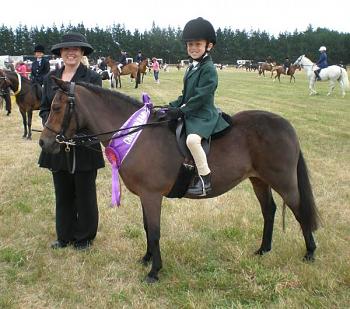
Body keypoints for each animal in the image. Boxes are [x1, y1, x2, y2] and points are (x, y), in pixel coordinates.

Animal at [39, 78, 320, 282]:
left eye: (56, 107)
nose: (44, 143)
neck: (136, 135)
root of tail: (286, 125)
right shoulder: (145, 196)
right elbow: (146, 228)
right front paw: (146, 259)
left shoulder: (152, 196)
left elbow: (154, 231)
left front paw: (154, 272)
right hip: (259, 180)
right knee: (269, 211)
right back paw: (263, 250)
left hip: (284, 182)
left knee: (299, 211)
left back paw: (310, 252)